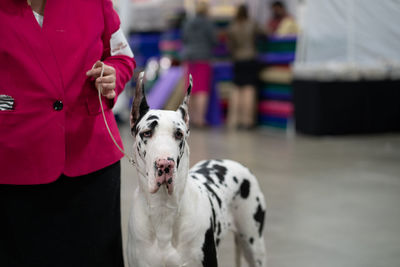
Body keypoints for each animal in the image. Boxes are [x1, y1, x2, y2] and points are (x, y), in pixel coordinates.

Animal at [127, 74, 266, 267]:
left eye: (179, 134)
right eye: (146, 133)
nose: (165, 164)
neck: (163, 210)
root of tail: (237, 164)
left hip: (253, 245)